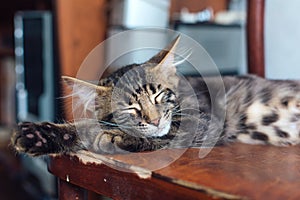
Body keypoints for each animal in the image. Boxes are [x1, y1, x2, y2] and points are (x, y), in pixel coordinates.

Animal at [10, 36, 300, 157]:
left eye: (159, 95)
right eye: (129, 109)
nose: (155, 120)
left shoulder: (205, 123)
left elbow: (158, 137)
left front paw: (114, 138)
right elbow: (84, 127)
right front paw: (38, 135)